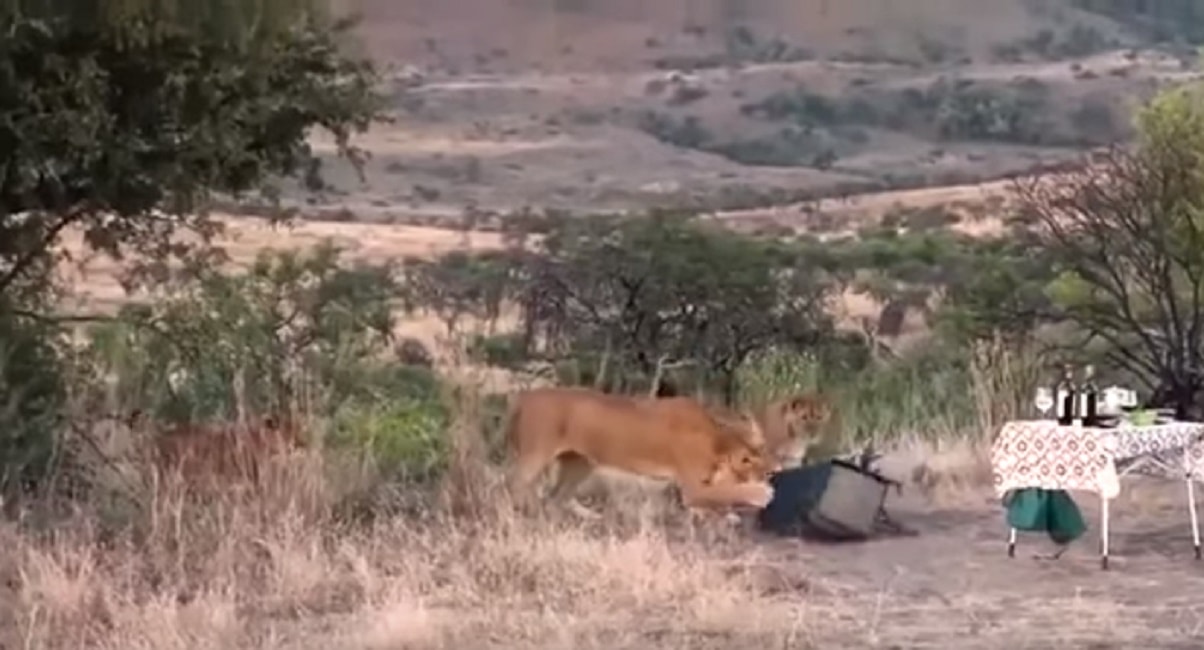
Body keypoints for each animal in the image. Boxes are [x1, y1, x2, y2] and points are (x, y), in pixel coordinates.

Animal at [505, 387, 775, 515]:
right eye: (755, 462)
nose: (772, 473)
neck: (717, 441)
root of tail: (525, 398)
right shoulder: (692, 490)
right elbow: (729, 491)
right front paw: (762, 493)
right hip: (535, 454)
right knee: (514, 485)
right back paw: (520, 514)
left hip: (580, 463)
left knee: (555, 498)